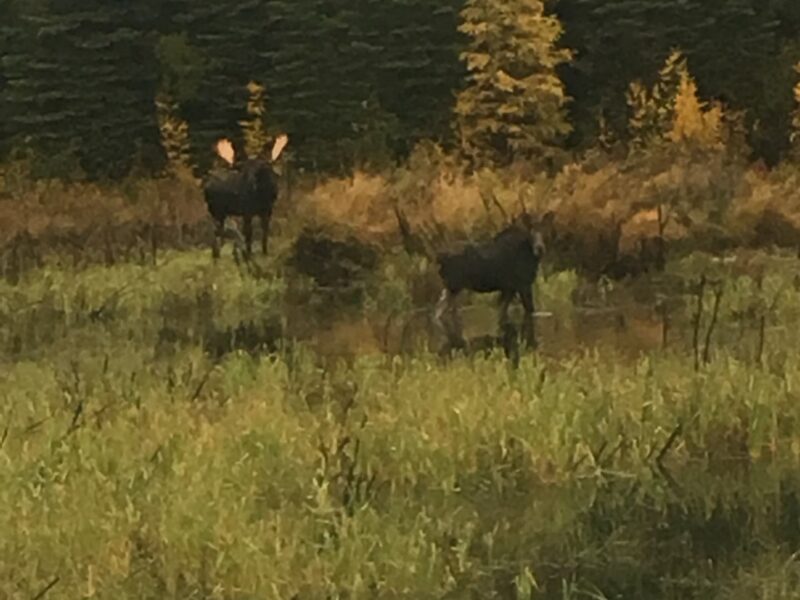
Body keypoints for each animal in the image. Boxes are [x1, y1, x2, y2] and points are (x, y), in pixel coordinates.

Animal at [434, 212, 552, 350]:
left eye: (546, 231)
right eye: (531, 232)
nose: (539, 248)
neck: (530, 255)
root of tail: (439, 258)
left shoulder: (509, 289)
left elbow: (502, 312)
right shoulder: (522, 285)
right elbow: (530, 310)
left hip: (450, 288)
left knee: (441, 312)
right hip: (454, 286)